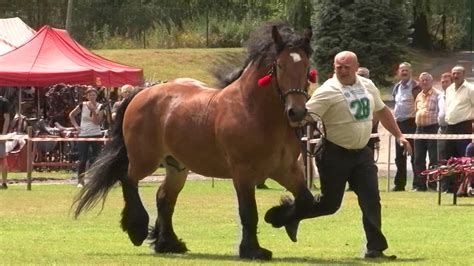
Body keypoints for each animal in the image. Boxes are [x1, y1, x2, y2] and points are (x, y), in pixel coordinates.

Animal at [74, 22, 316, 260]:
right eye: (280, 66)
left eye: (306, 67)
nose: (296, 112)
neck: (253, 111)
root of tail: (142, 92)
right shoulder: (243, 173)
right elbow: (249, 212)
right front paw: (252, 250)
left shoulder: (286, 170)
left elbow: (307, 201)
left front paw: (279, 217)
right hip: (144, 160)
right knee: (128, 179)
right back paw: (137, 229)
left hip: (177, 167)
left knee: (164, 198)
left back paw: (168, 243)